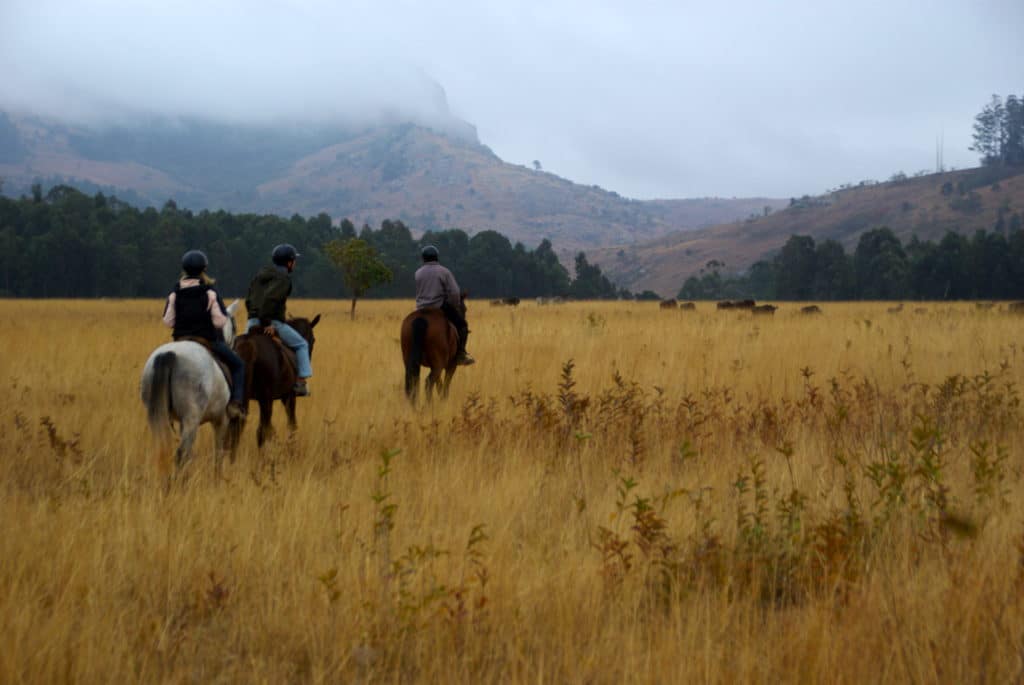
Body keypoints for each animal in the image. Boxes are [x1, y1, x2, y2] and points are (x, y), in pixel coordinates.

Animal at [141, 301, 242, 473]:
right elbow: (218, 453)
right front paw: (218, 477)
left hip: (160, 415)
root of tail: (169, 354)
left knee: (165, 450)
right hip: (192, 418)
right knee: (182, 453)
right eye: (235, 327)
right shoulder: (221, 419)